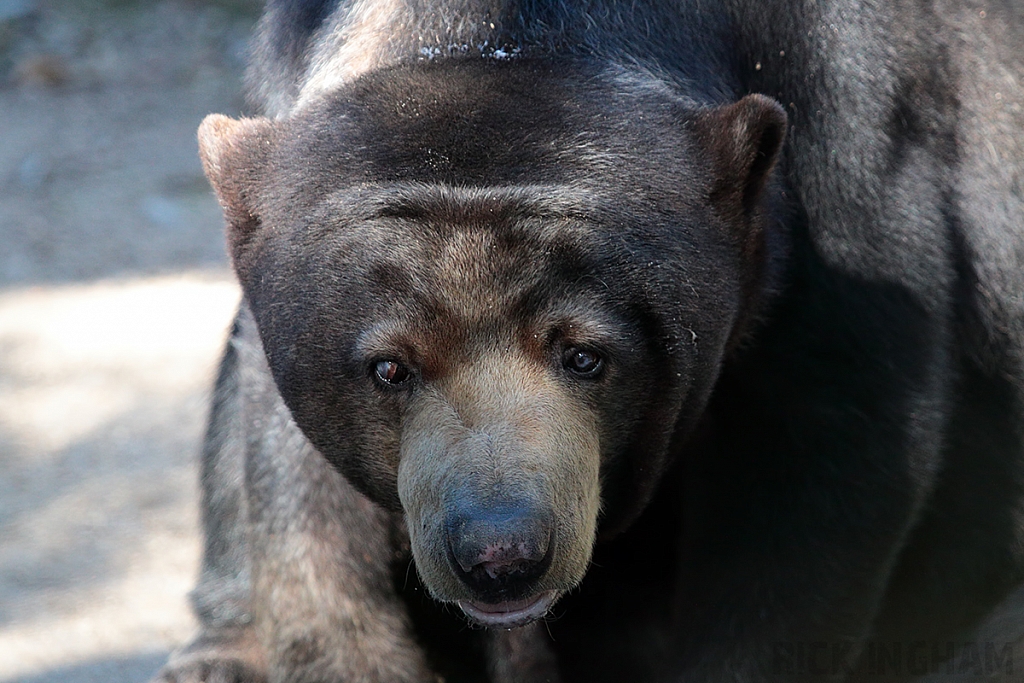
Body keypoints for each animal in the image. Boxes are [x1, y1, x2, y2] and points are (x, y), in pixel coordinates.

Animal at [151, 1, 1024, 683]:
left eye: (585, 355)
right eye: (389, 367)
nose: (501, 553)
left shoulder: (845, 203)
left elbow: (816, 483)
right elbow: (308, 518)